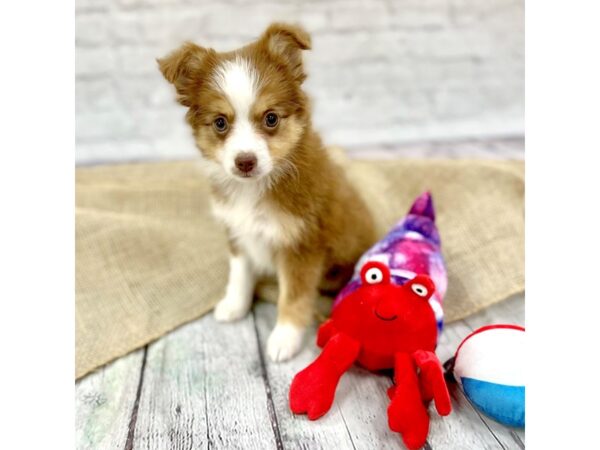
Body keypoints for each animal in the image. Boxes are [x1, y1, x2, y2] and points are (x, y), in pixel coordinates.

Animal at [159, 23, 376, 362]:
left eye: (271, 118)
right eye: (220, 123)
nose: (245, 161)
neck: (253, 189)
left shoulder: (302, 247)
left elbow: (294, 296)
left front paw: (284, 338)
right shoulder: (238, 232)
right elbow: (239, 274)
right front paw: (234, 305)